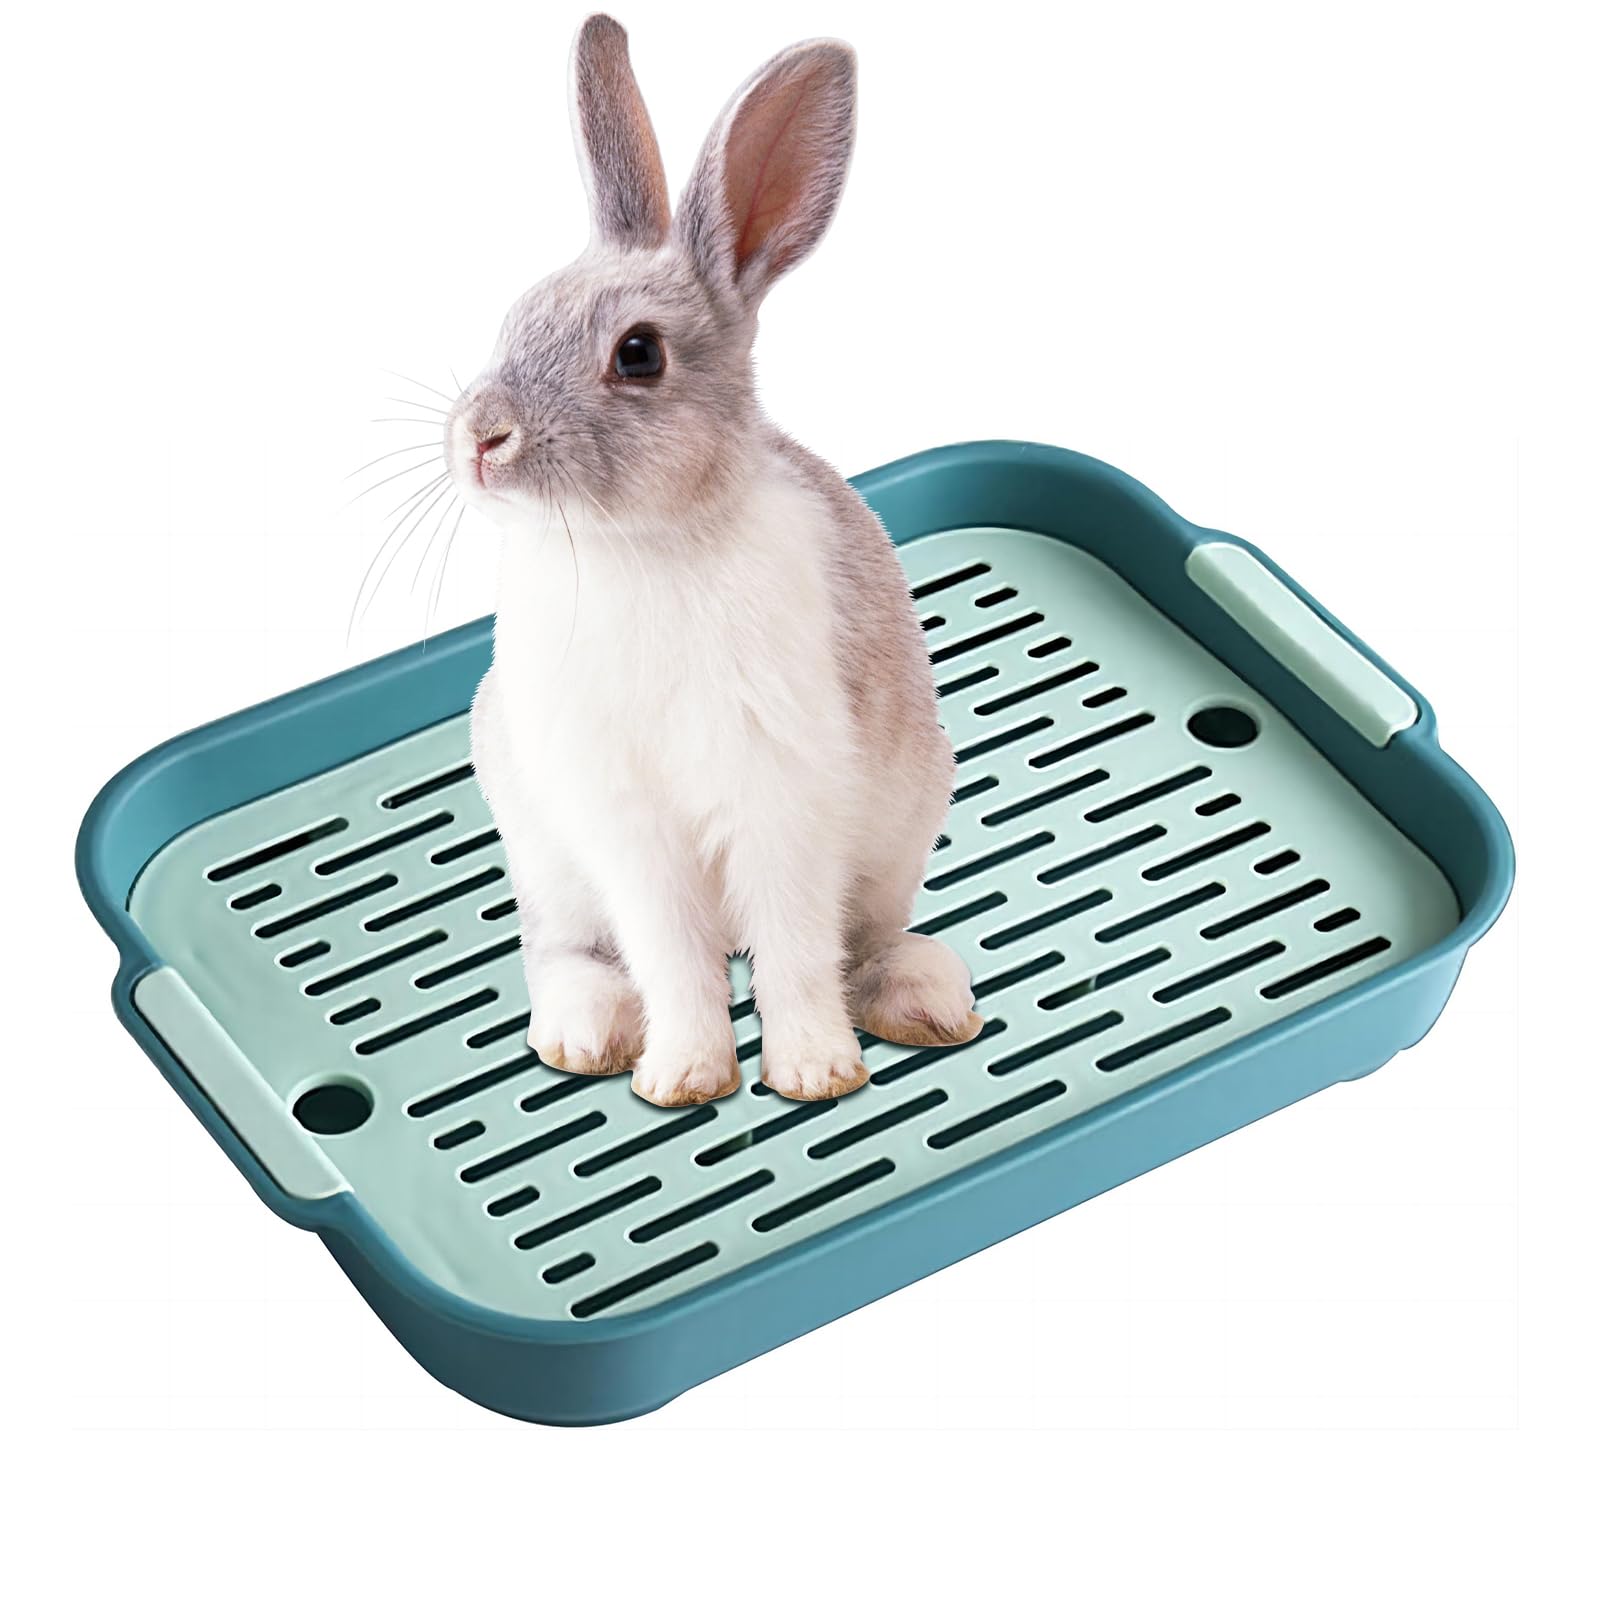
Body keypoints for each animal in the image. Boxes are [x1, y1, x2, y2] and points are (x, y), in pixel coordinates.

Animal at [446, 13, 982, 1106]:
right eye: (516, 316)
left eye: (639, 353)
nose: (481, 439)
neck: (641, 545)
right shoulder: (626, 825)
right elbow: (672, 955)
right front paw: (684, 1078)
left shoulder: (783, 798)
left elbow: (794, 948)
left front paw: (815, 1073)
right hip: (545, 853)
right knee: (566, 951)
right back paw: (585, 1036)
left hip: (899, 831)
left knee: (862, 940)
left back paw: (923, 1002)